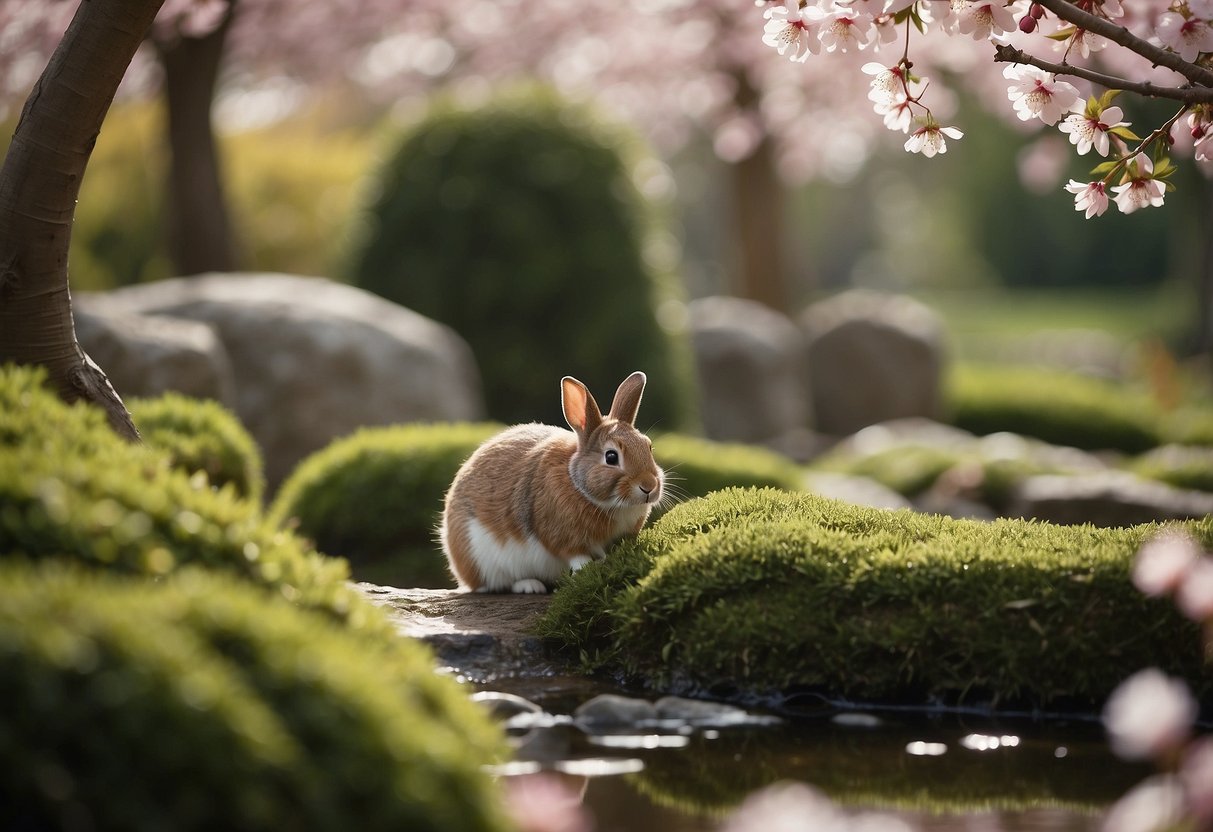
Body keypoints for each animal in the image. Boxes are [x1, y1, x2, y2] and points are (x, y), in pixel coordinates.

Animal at [439, 371, 664, 594]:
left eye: (648, 446)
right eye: (611, 457)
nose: (649, 486)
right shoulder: (564, 538)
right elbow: (577, 557)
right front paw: (588, 570)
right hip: (481, 560)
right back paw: (529, 586)